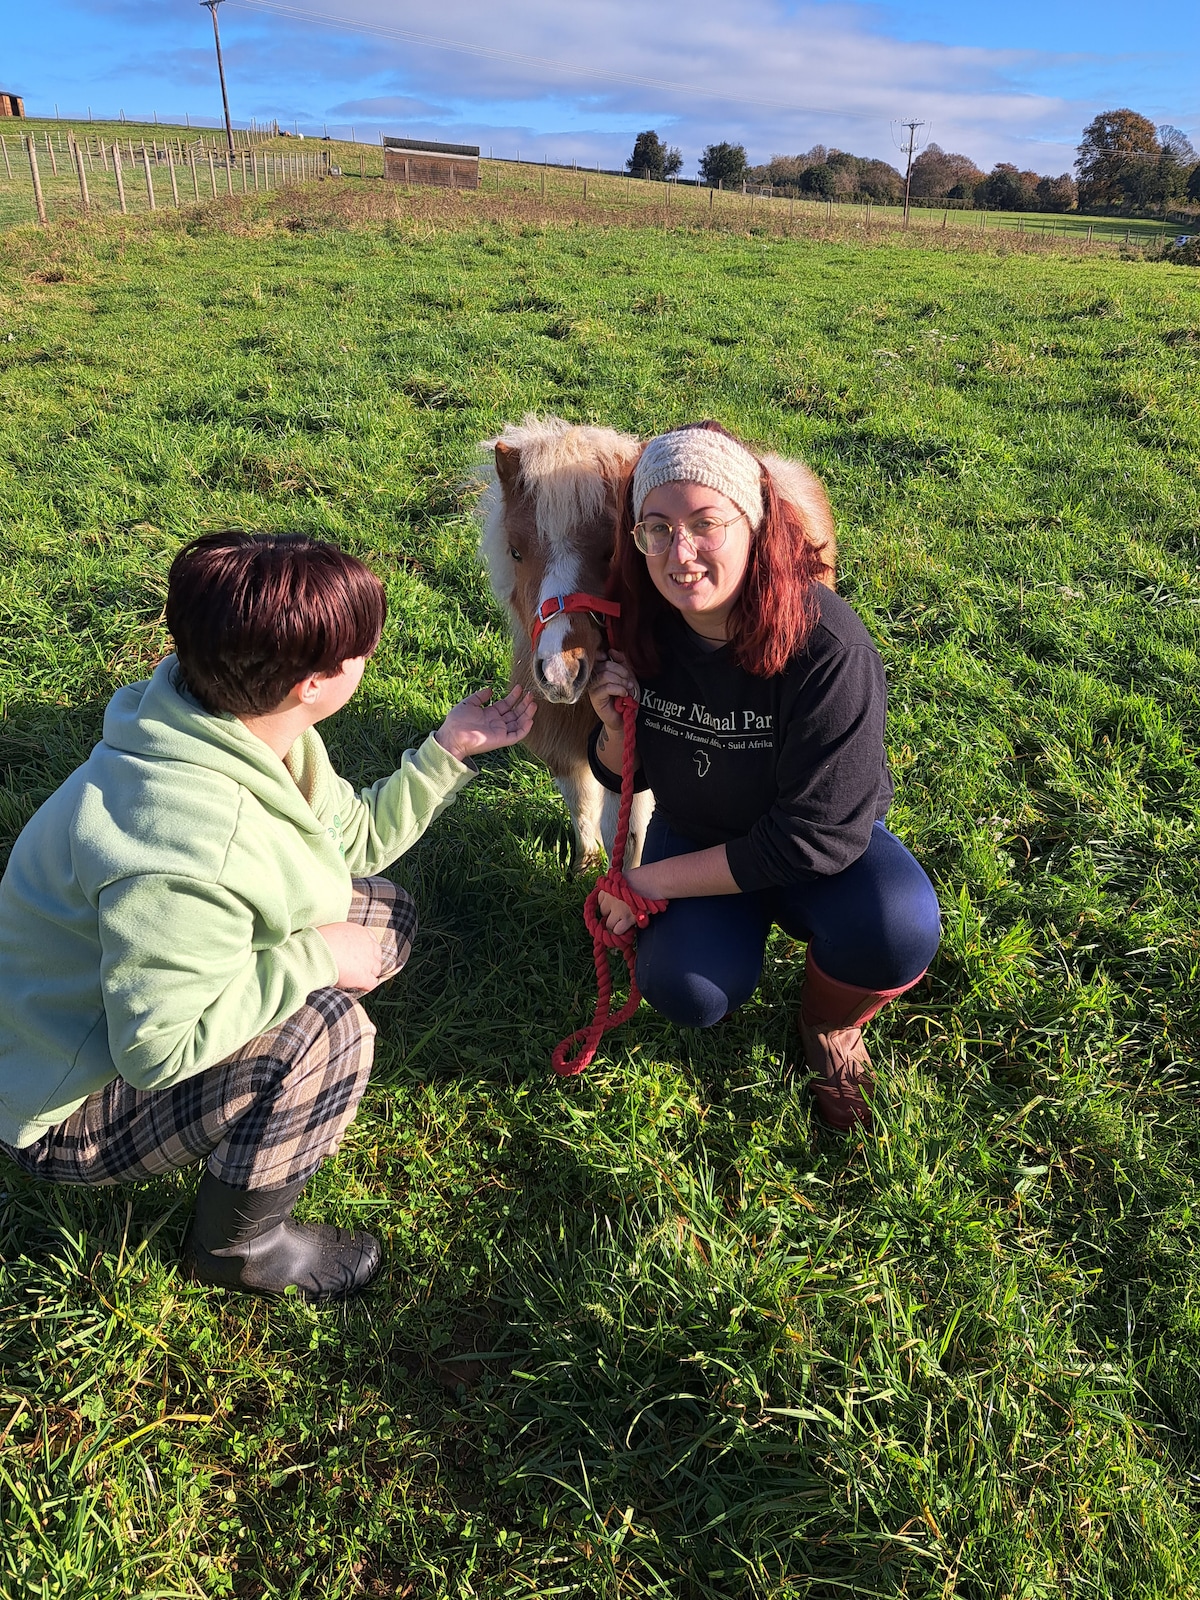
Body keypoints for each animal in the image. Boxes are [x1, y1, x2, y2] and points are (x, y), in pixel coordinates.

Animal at [476, 413, 839, 871]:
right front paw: (585, 863)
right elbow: (581, 804)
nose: (562, 672)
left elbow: (629, 833)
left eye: (610, 551)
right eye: (515, 552)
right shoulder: (565, 742)